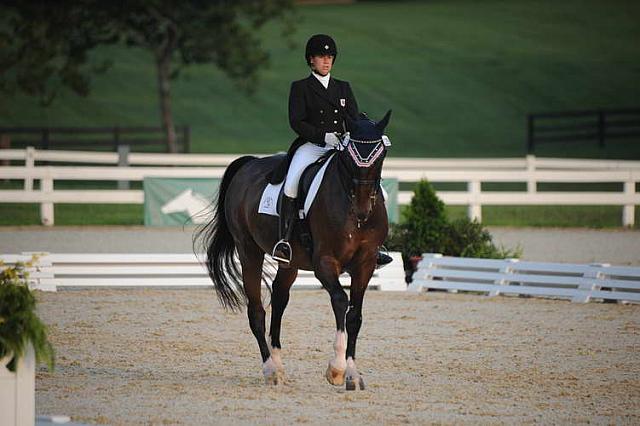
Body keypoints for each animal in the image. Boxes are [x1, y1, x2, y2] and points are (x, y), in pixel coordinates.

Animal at [195, 111, 392, 392]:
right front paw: (336, 369)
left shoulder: (365, 263)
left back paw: (278, 364)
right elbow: (340, 301)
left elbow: (355, 315)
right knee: (257, 311)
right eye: (348, 157)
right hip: (248, 251)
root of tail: (249, 164)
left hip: (291, 262)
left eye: (381, 155)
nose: (363, 210)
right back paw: (270, 371)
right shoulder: (324, 263)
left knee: (279, 299)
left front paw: (352, 374)